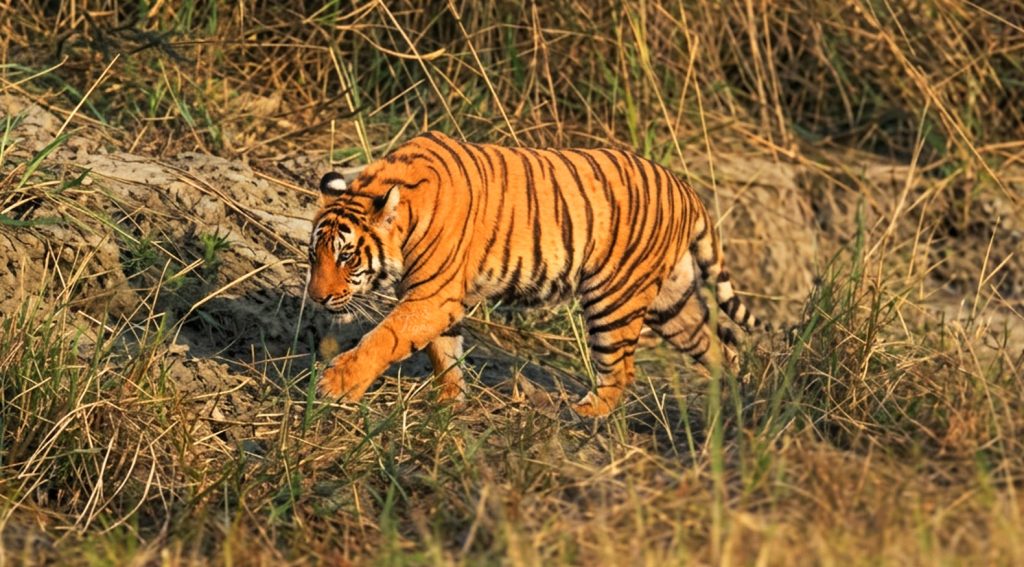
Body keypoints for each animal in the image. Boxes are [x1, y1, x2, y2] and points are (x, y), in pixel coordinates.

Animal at [306, 131, 766, 416]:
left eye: (346, 257)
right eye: (314, 256)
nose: (317, 298)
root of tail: (687, 190)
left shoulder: (431, 297)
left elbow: (383, 337)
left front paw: (337, 385)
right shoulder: (440, 300)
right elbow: (444, 352)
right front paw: (451, 401)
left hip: (614, 297)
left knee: (621, 368)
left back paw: (586, 413)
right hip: (670, 302)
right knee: (718, 345)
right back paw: (733, 398)